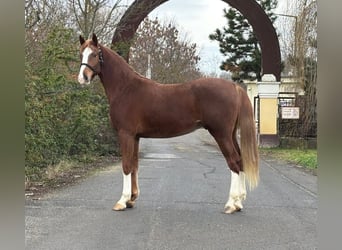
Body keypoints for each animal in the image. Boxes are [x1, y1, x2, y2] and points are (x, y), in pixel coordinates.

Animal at [78, 33, 260, 214]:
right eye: (81, 54)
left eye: (94, 54)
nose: (82, 78)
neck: (126, 89)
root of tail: (234, 87)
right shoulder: (135, 137)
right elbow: (135, 165)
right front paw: (131, 199)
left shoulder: (126, 134)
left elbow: (126, 165)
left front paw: (122, 201)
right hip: (231, 134)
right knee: (240, 161)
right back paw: (238, 203)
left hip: (221, 134)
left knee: (234, 162)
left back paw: (231, 204)